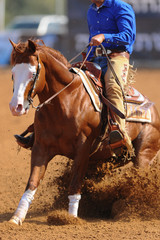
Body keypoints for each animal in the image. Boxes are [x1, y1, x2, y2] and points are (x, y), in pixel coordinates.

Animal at [8, 39, 160, 225]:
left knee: (139, 179)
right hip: (111, 158)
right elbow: (32, 182)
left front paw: (71, 218)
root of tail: (152, 109)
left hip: (144, 155)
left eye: (32, 72)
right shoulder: (40, 148)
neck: (66, 100)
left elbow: (75, 183)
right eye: (13, 73)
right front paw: (16, 218)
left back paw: (129, 211)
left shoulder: (82, 149)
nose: (16, 107)